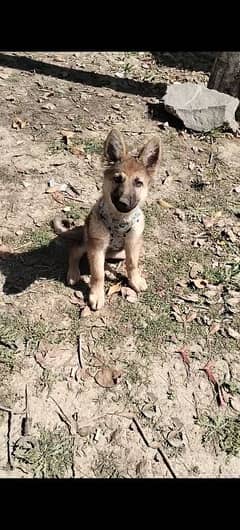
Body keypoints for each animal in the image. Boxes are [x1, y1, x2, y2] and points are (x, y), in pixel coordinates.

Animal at [52, 129, 161, 310]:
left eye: (138, 183)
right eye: (117, 179)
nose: (123, 203)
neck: (120, 221)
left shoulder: (133, 243)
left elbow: (132, 264)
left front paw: (135, 280)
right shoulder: (96, 247)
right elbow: (97, 274)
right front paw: (97, 295)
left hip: (119, 252)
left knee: (107, 260)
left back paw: (109, 270)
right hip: (88, 243)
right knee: (75, 251)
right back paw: (74, 273)